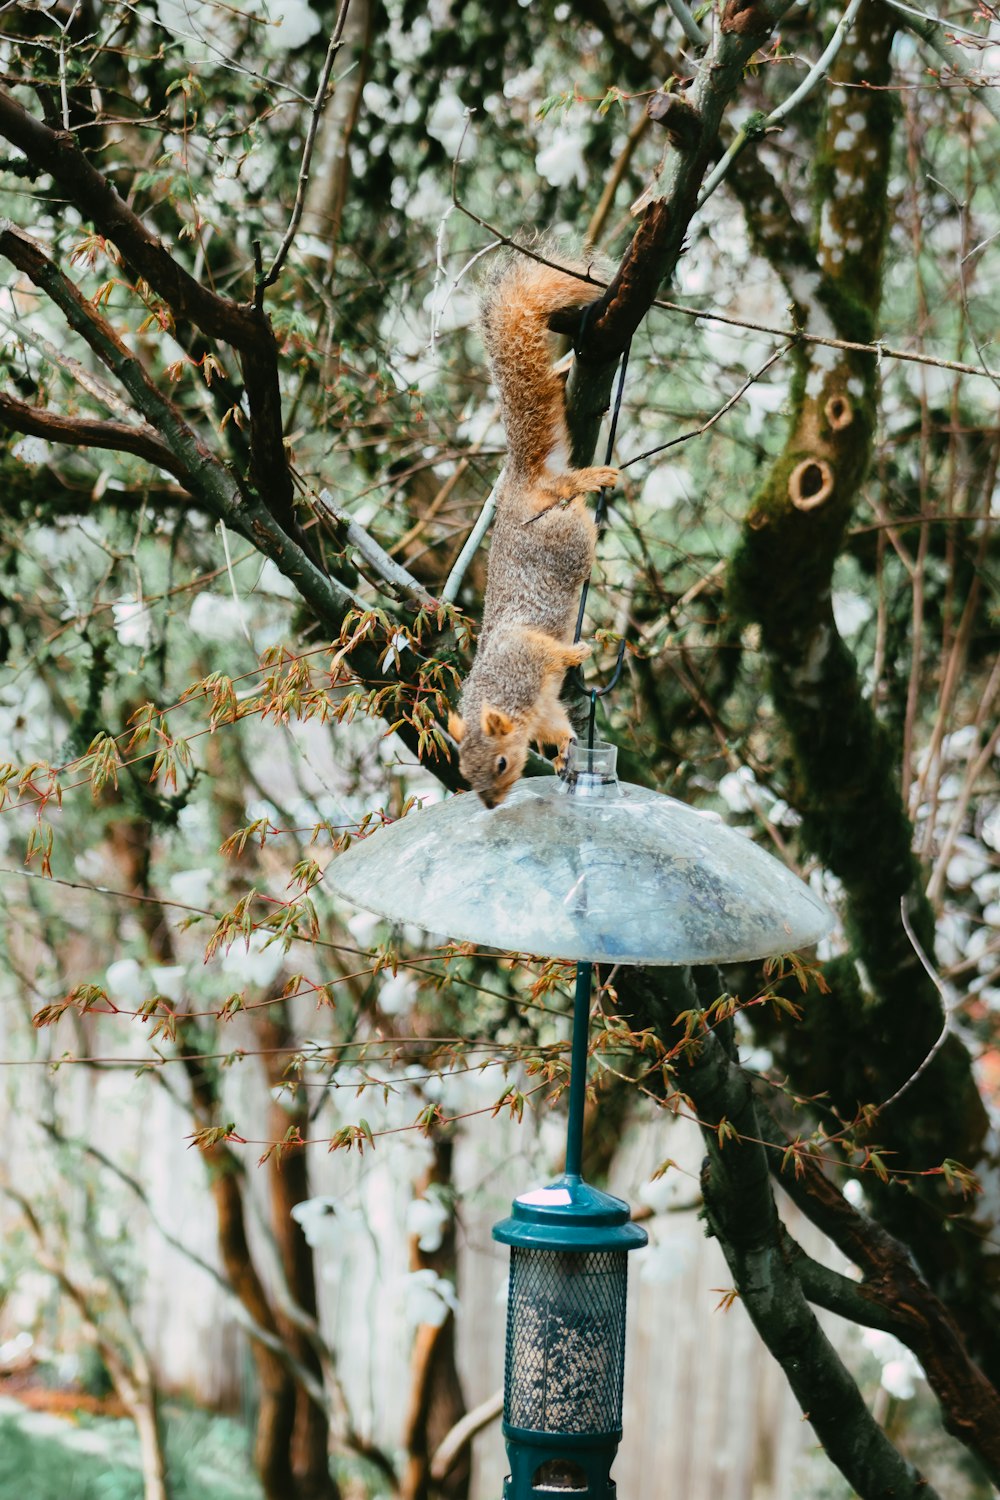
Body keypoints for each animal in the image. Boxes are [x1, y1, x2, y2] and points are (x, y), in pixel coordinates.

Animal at [446, 255, 617, 810]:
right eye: (465, 770)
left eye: (500, 764)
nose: (491, 804)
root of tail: (524, 486)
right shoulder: (543, 708)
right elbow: (560, 725)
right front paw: (564, 752)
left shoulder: (527, 655)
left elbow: (551, 652)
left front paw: (576, 654)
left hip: (563, 536)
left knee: (572, 502)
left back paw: (589, 483)